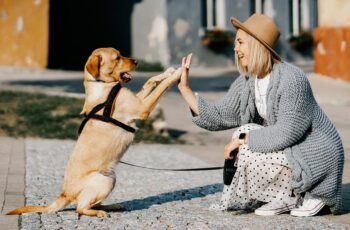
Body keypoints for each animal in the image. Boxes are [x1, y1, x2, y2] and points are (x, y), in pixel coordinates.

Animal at [6, 47, 182, 217]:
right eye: (117, 57)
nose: (137, 61)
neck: (102, 85)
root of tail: (64, 194)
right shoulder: (141, 108)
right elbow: (162, 86)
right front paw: (177, 74)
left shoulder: (137, 100)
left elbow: (150, 81)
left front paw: (167, 72)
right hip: (104, 180)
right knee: (80, 208)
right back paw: (99, 212)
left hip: (111, 178)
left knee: (91, 203)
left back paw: (113, 206)